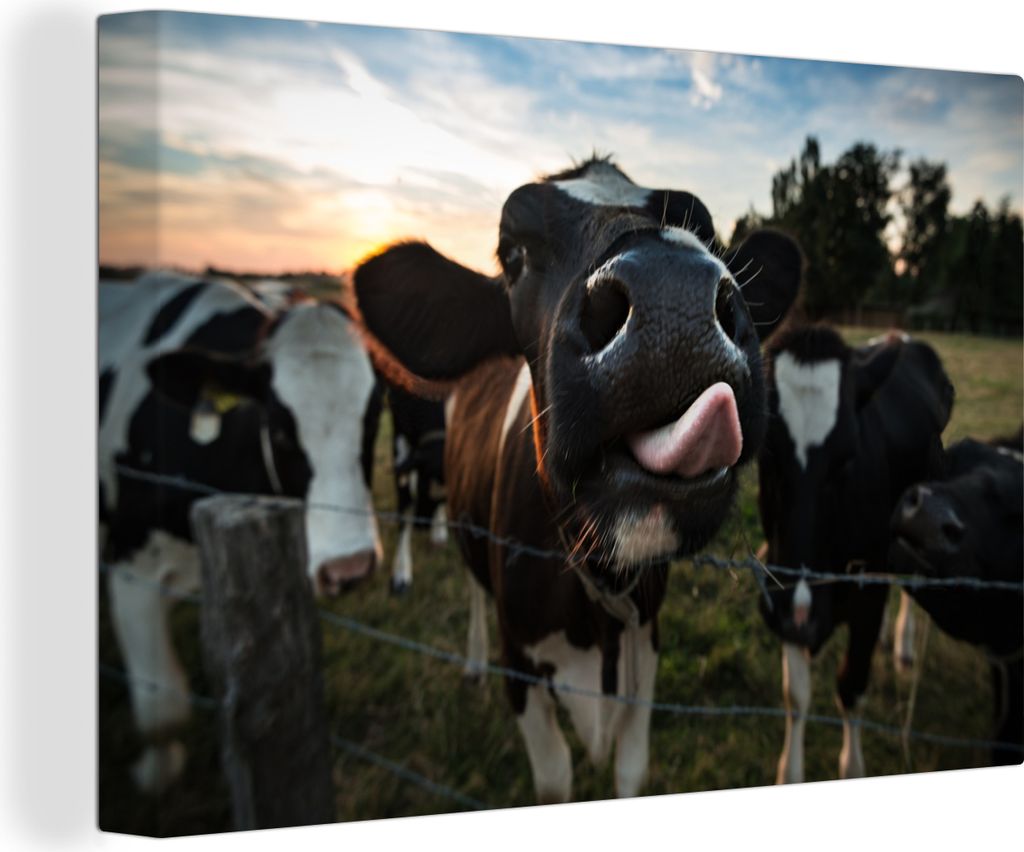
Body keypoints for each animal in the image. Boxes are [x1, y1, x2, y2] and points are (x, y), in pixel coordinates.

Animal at [99, 270, 383, 794]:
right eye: (280, 427)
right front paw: (153, 775)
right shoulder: (130, 561)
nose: (349, 568)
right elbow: (161, 703)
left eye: (373, 415)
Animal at [757, 325, 953, 784]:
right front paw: (789, 772)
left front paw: (852, 766)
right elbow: (796, 695)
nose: (800, 607)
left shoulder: (860, 593)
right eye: (766, 454)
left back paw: (902, 645)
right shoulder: (783, 595)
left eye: (847, 456)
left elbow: (851, 686)